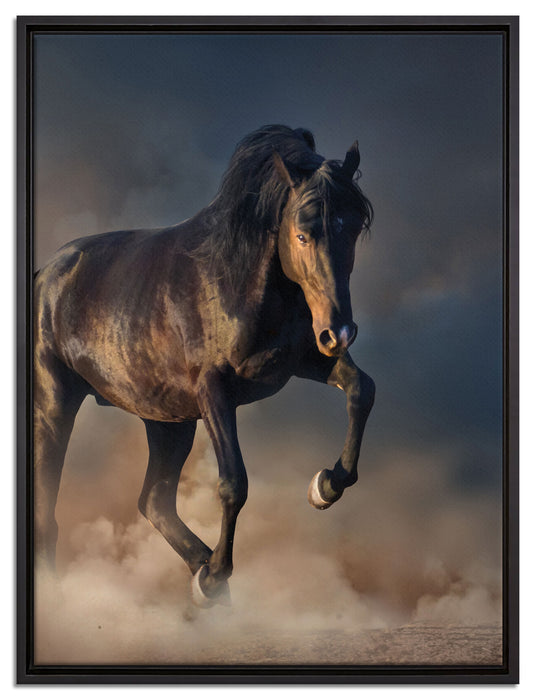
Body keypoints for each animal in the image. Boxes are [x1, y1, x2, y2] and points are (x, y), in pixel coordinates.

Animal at [33, 124, 375, 608]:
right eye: (302, 234)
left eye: (355, 225)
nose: (340, 332)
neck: (238, 281)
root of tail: (45, 275)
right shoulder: (214, 391)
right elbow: (234, 483)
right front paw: (216, 574)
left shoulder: (304, 361)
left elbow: (362, 389)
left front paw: (325, 486)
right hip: (55, 405)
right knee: (50, 510)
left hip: (167, 421)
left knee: (154, 500)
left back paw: (205, 575)